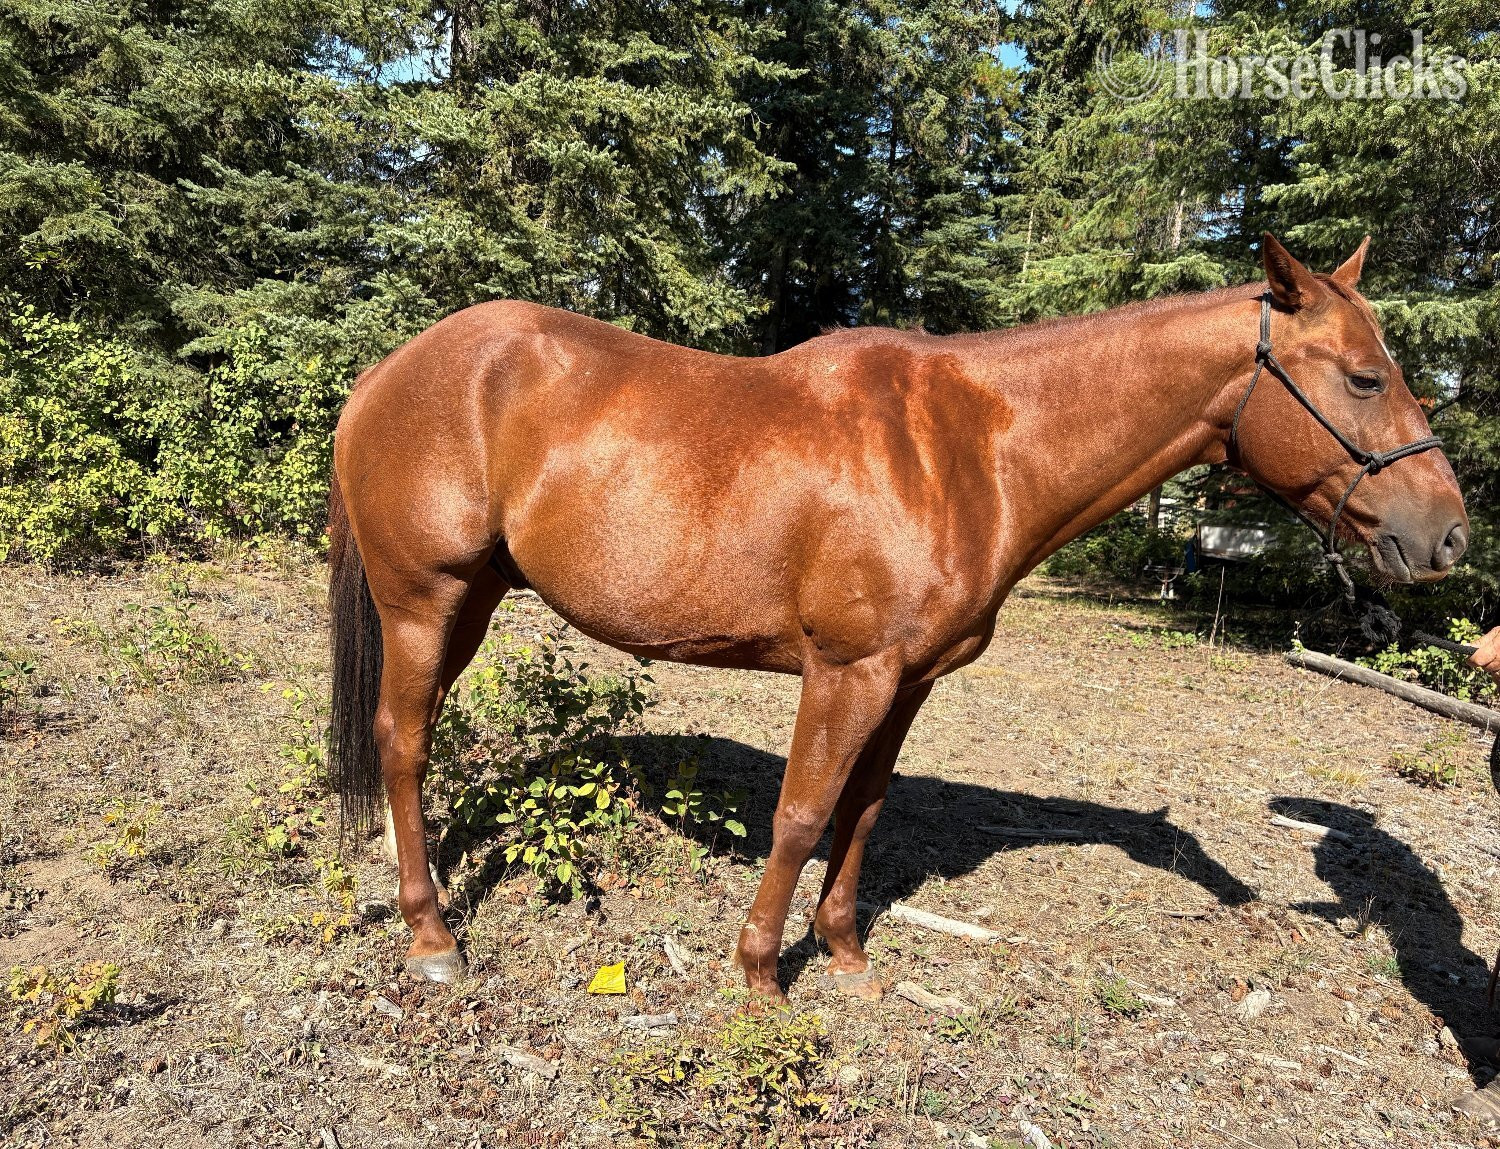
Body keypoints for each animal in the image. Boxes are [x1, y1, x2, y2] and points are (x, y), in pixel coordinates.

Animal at [327, 234, 1467, 1001]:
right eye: (1365, 377)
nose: (1450, 535)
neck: (970, 448)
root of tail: (390, 371)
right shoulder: (848, 670)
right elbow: (800, 814)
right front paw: (761, 972)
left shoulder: (906, 682)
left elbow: (865, 812)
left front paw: (845, 955)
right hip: (425, 601)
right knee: (403, 742)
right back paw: (431, 936)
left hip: (472, 601)